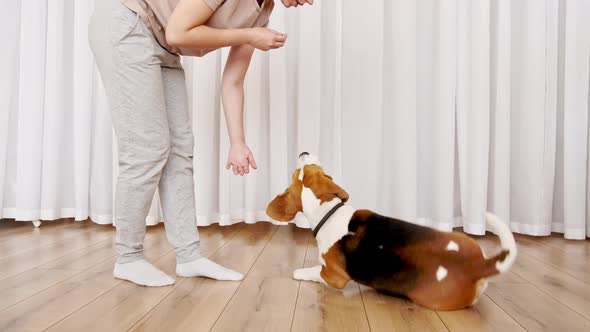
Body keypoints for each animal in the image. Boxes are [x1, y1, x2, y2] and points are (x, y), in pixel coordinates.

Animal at [268, 153, 520, 312]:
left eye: (301, 171)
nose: (303, 152)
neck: (329, 213)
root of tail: (478, 265)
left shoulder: (332, 275)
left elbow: (312, 272)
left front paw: (299, 272)